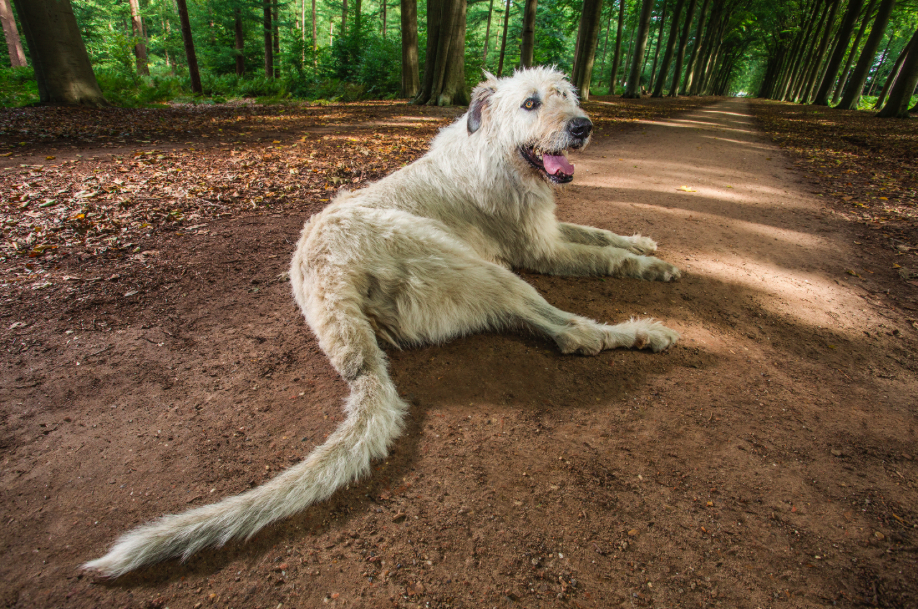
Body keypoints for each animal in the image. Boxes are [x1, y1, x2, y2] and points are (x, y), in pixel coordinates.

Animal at [82, 66, 680, 576]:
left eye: (565, 95)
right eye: (530, 103)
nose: (583, 126)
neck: (492, 149)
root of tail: (329, 288)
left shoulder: (550, 230)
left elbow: (598, 233)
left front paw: (642, 242)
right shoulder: (540, 250)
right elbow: (604, 256)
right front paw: (653, 266)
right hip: (477, 266)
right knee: (572, 333)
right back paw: (641, 331)